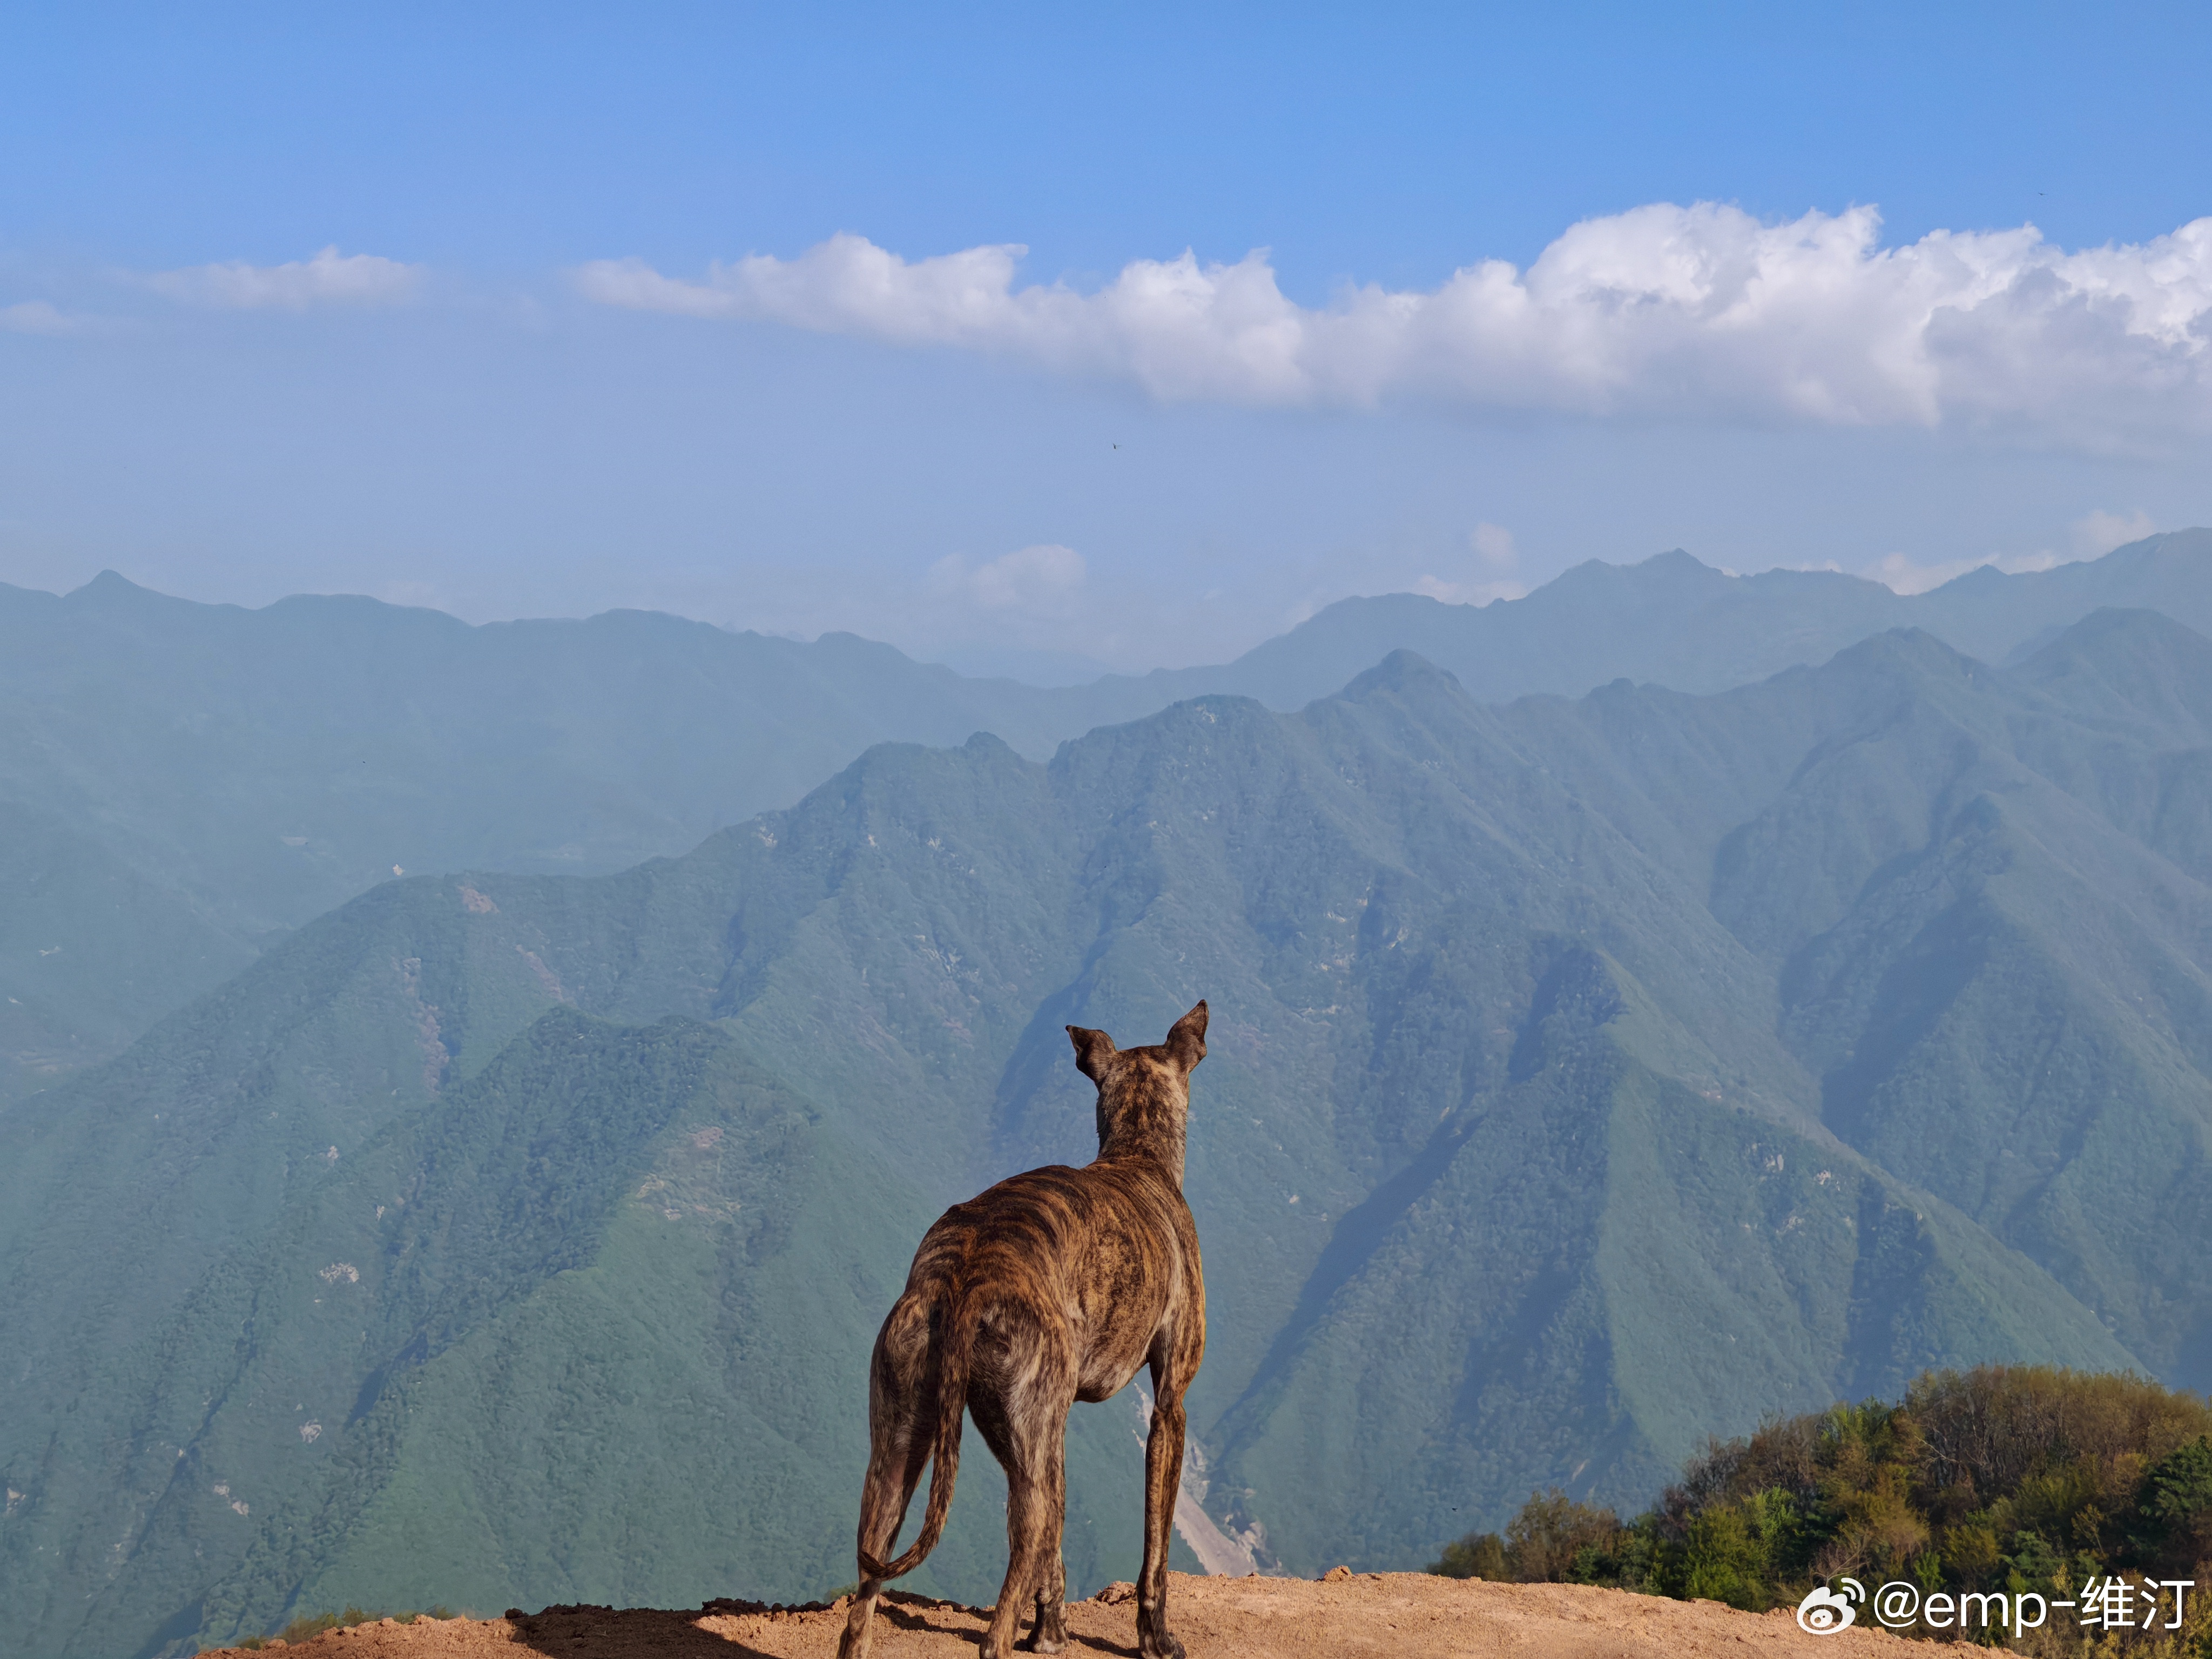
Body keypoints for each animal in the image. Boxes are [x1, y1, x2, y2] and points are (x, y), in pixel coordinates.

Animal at [832, 1000, 1212, 1659]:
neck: (1137, 1155)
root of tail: (964, 1277)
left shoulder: (1044, 1441)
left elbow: (1053, 1558)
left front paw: (1052, 1633)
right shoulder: (1169, 1408)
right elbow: (1155, 1551)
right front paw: (1156, 1637)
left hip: (903, 1451)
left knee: (865, 1598)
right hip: (1024, 1439)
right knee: (1002, 1608)